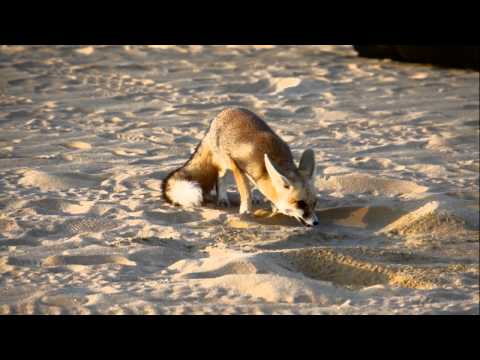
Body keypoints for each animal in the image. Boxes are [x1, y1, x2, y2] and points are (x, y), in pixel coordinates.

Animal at [161, 107, 318, 226]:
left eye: (314, 203)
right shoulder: (237, 166)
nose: (316, 223)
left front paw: (272, 205)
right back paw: (223, 198)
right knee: (220, 179)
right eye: (300, 204)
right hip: (224, 163)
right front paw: (245, 211)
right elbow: (245, 192)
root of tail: (222, 113)